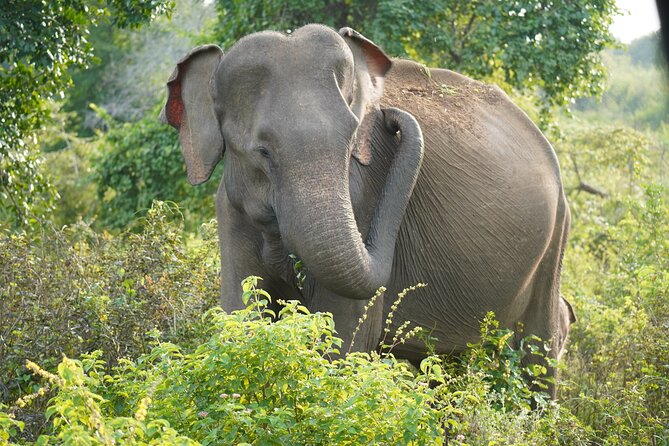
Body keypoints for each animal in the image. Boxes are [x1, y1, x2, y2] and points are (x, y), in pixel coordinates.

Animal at [160, 24, 572, 395]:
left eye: (352, 138)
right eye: (262, 152)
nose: (391, 118)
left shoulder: (362, 197)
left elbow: (339, 341)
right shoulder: (230, 212)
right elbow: (240, 315)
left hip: (554, 245)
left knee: (537, 357)